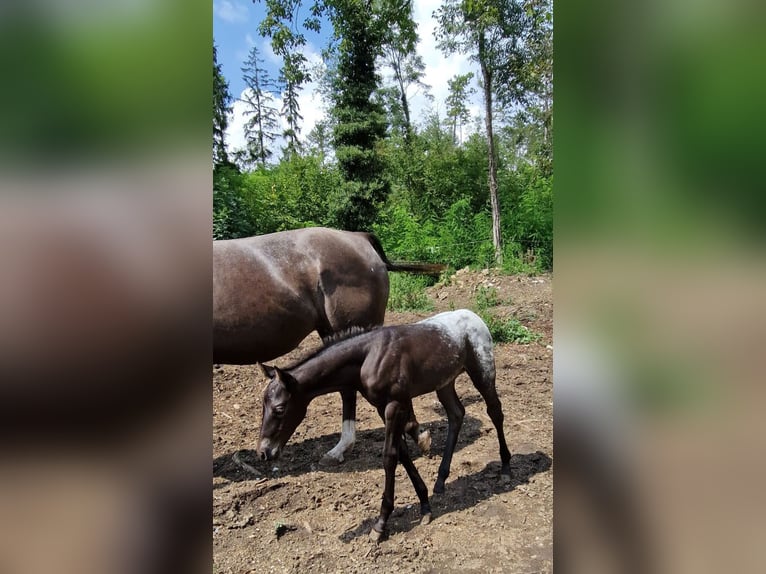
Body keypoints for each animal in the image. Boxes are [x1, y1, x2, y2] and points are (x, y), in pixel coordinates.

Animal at [258, 310, 516, 540]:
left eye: (279, 408)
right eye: (263, 405)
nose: (264, 452)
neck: (369, 356)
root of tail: (474, 316)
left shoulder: (394, 405)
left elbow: (389, 456)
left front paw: (381, 524)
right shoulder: (382, 408)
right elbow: (402, 453)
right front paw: (424, 504)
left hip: (482, 372)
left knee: (495, 411)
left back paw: (505, 468)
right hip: (445, 382)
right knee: (456, 415)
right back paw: (441, 481)